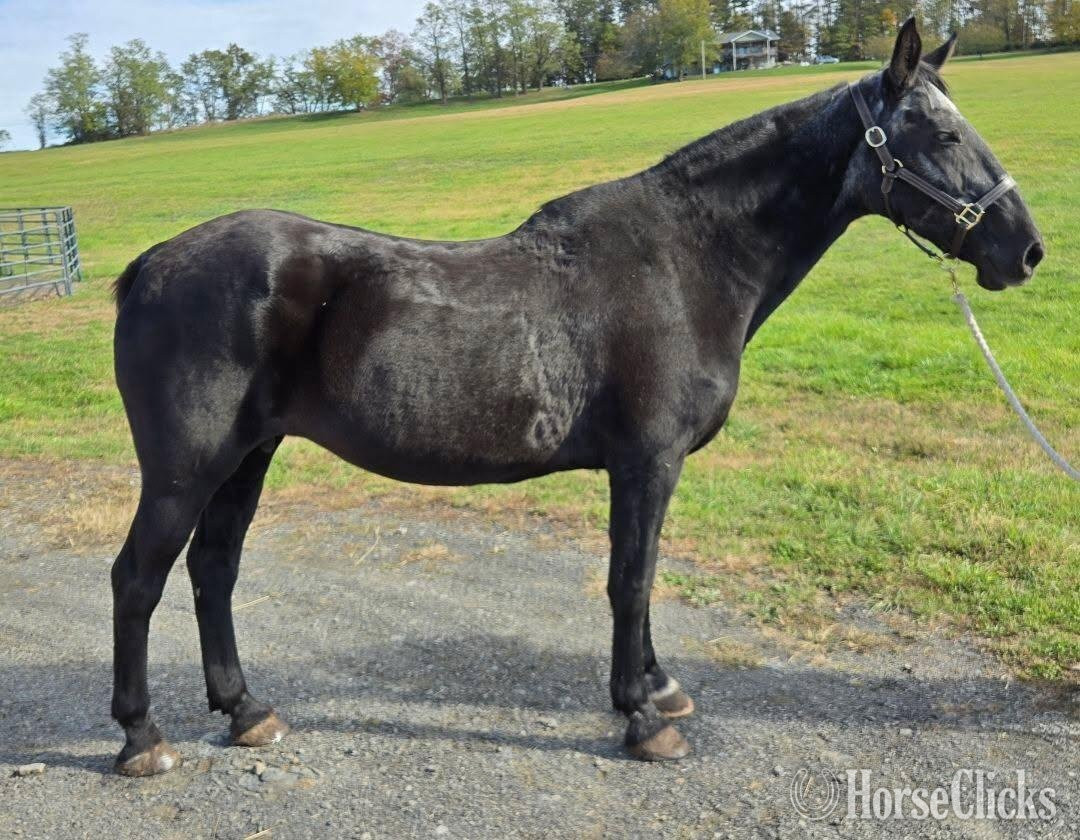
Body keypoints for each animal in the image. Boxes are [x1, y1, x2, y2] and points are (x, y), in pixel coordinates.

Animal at [108, 19, 1043, 775]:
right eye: (940, 131)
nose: (1026, 249)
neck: (685, 262)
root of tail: (149, 266)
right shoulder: (647, 461)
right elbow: (631, 578)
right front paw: (642, 719)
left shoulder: (647, 467)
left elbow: (645, 575)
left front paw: (659, 688)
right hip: (187, 469)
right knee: (138, 579)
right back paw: (142, 737)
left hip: (248, 456)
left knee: (213, 569)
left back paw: (245, 711)